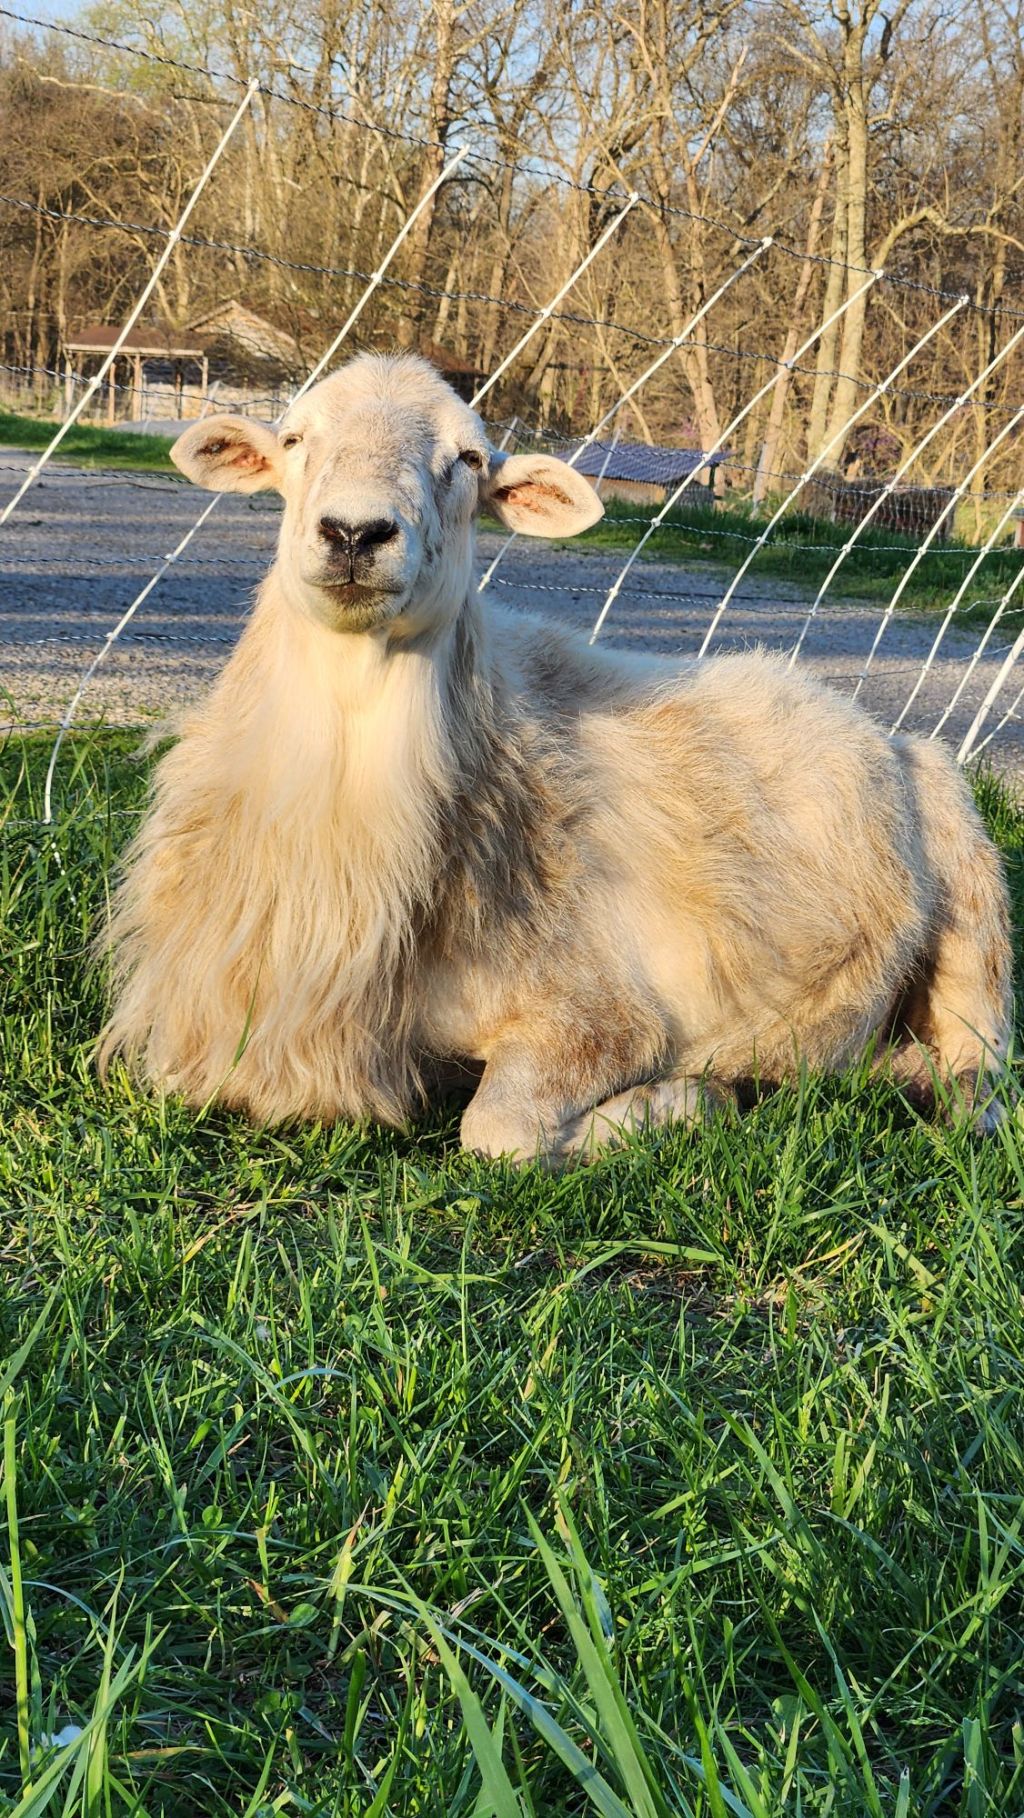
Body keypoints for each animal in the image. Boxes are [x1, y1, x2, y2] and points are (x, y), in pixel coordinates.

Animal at [99, 351, 1012, 1162]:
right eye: (294, 438)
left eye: (468, 459)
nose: (355, 532)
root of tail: (856, 712)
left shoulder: (604, 1012)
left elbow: (497, 1133)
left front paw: (688, 1101)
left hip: (971, 881)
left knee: (984, 1076)